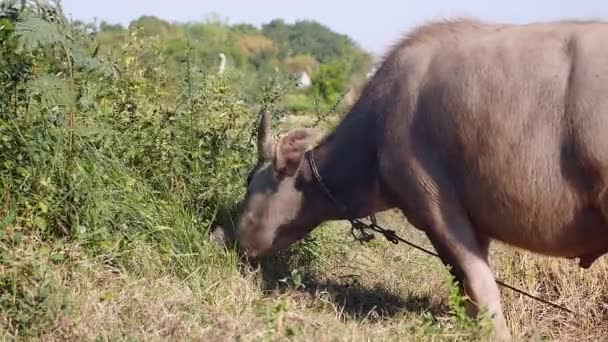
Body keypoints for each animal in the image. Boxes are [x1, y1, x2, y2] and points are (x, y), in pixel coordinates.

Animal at [235, 19, 608, 342]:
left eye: (250, 183)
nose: (229, 238)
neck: (376, 139)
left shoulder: (436, 208)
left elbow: (478, 281)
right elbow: (466, 284)